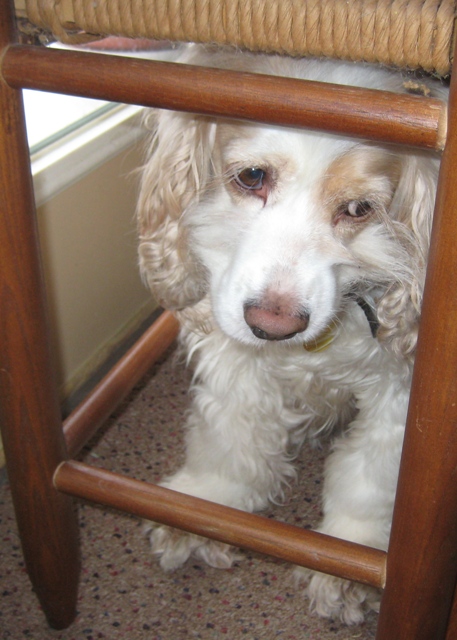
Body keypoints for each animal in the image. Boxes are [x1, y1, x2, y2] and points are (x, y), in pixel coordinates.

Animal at [137, 45, 446, 625]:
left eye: (358, 210)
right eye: (252, 177)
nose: (273, 324)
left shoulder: (403, 387)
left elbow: (371, 475)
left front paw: (348, 560)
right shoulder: (234, 349)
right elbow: (231, 435)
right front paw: (201, 508)